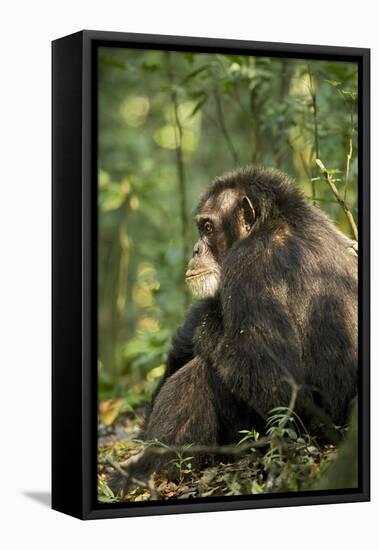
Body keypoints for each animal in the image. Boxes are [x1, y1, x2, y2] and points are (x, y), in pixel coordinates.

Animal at [116, 165, 360, 488]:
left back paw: (146, 472)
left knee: (203, 371)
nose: (195, 250)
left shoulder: (249, 268)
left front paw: (205, 323)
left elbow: (277, 385)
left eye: (207, 228)